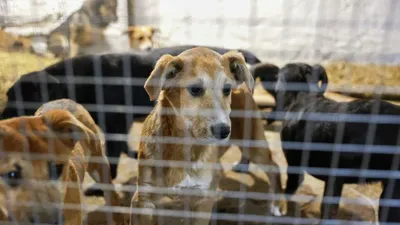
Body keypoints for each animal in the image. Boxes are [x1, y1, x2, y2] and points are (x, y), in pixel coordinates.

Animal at [1, 44, 262, 181]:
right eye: (8, 95)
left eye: (20, 97)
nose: (2, 117)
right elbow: (123, 147)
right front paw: (134, 154)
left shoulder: (116, 124)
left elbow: (114, 152)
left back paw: (243, 165)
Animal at [128, 47, 282, 225]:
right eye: (195, 89)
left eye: (227, 89)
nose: (224, 131)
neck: (184, 148)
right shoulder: (142, 199)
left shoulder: (203, 199)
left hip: (253, 140)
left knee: (274, 168)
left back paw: (276, 205)